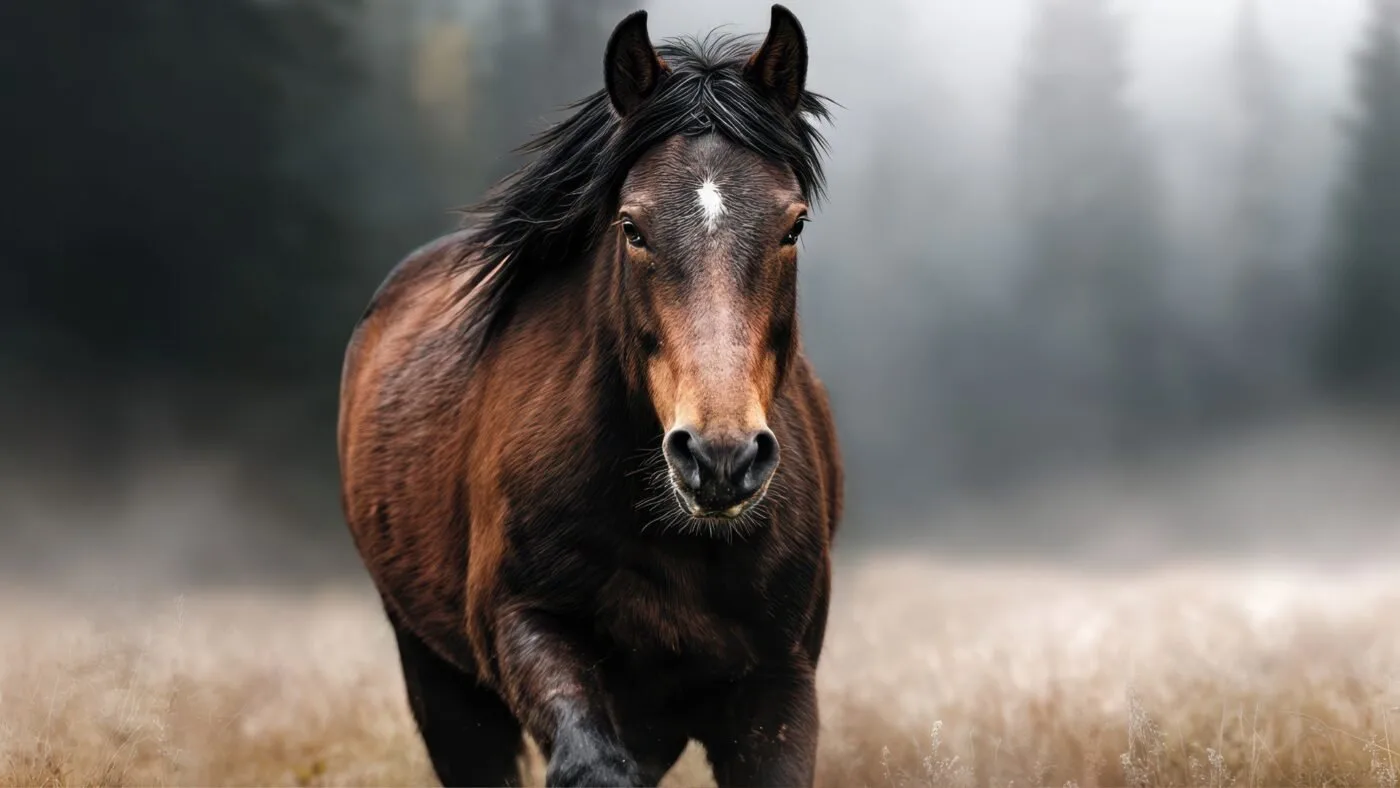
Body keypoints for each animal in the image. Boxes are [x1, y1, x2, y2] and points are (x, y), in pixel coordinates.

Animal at [337, 6, 842, 786]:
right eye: (631, 227)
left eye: (793, 225)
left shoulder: (777, 687)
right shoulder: (527, 625)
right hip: (437, 677)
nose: (719, 459)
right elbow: (590, 764)